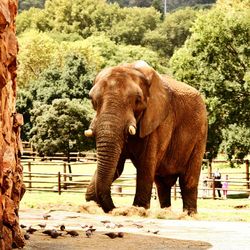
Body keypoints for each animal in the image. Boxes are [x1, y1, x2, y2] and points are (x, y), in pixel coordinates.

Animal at [84, 60, 207, 215]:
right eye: (92, 99)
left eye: (137, 100)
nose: (115, 208)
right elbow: (117, 166)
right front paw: (92, 203)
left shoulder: (159, 120)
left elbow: (145, 164)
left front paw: (138, 209)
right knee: (162, 184)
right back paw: (165, 212)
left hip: (201, 132)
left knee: (188, 180)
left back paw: (189, 215)